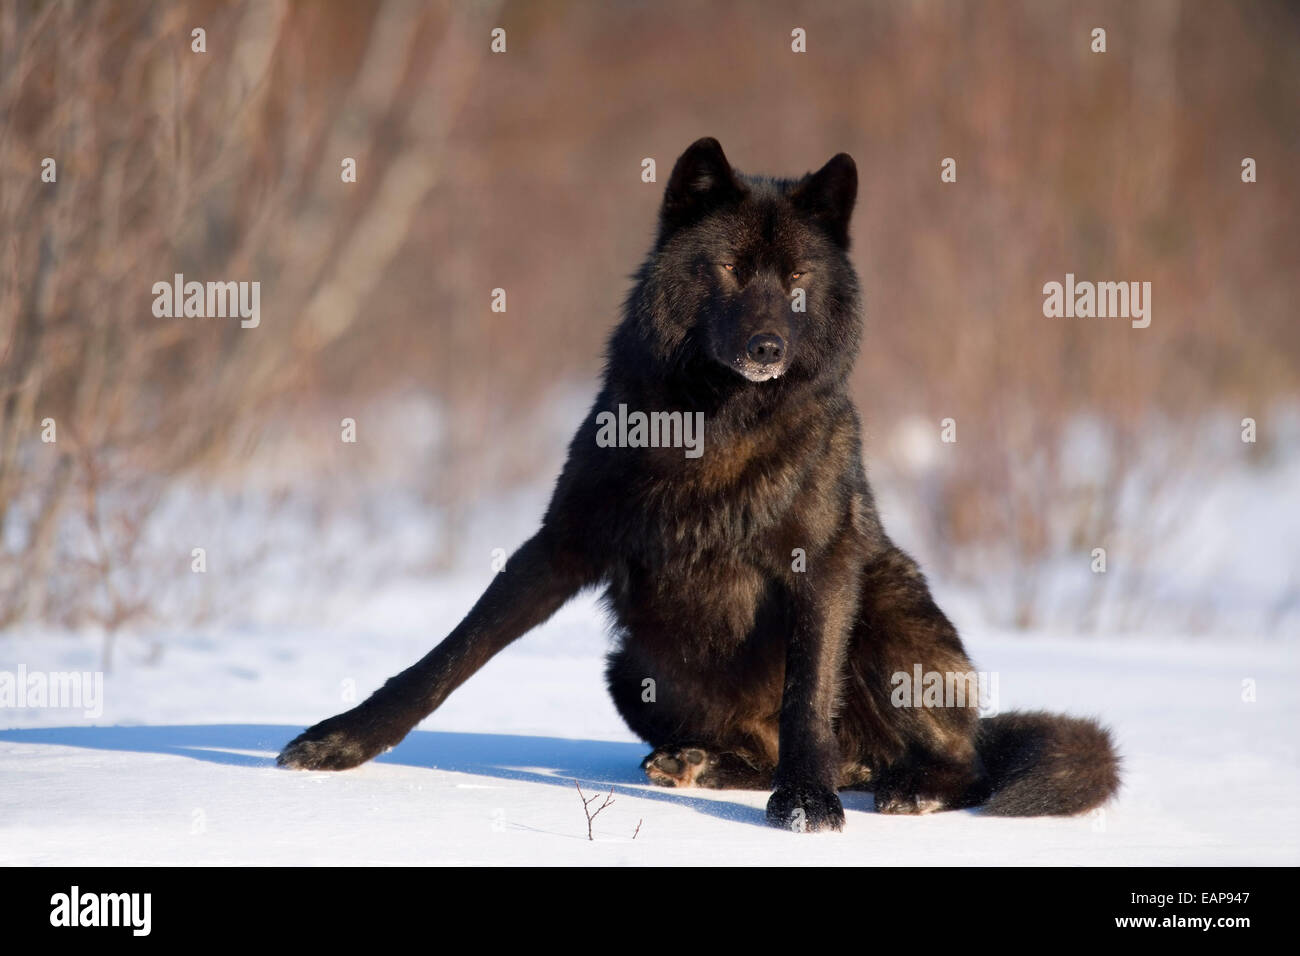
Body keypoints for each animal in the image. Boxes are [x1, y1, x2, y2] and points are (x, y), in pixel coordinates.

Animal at [279, 138, 1121, 831]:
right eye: (729, 268)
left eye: (798, 278)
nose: (769, 345)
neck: (715, 425)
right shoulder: (561, 543)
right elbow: (449, 656)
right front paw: (341, 742)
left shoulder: (823, 567)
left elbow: (807, 697)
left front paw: (805, 805)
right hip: (631, 668)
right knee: (782, 756)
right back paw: (699, 764)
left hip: (881, 615)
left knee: (964, 769)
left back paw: (902, 787)